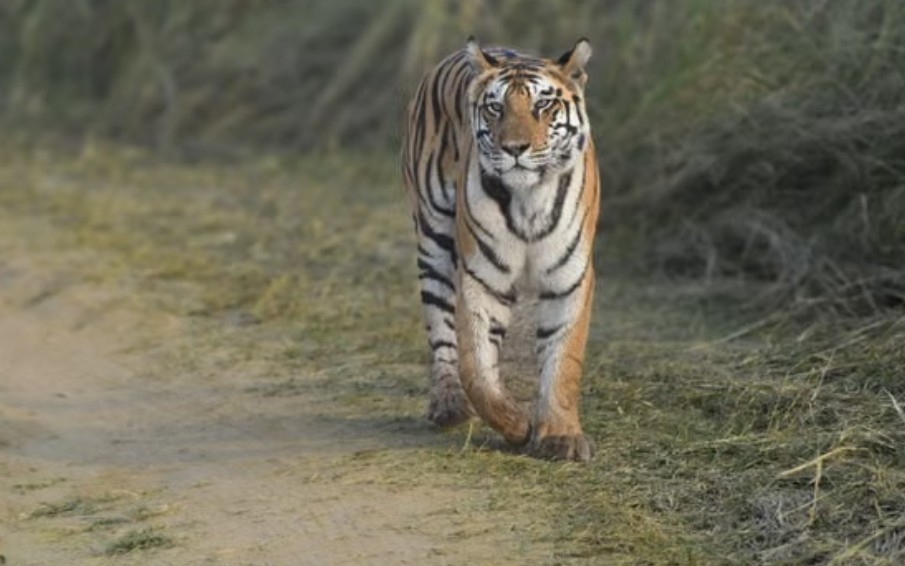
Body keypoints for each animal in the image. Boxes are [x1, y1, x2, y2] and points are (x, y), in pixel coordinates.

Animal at [401, 37, 600, 462]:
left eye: (543, 105)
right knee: (441, 329)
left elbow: (563, 358)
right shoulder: (482, 278)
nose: (514, 148)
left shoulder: (569, 278)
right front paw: (515, 425)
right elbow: (477, 369)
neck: (529, 200)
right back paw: (449, 404)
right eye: (496, 108)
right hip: (433, 238)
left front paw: (561, 435)